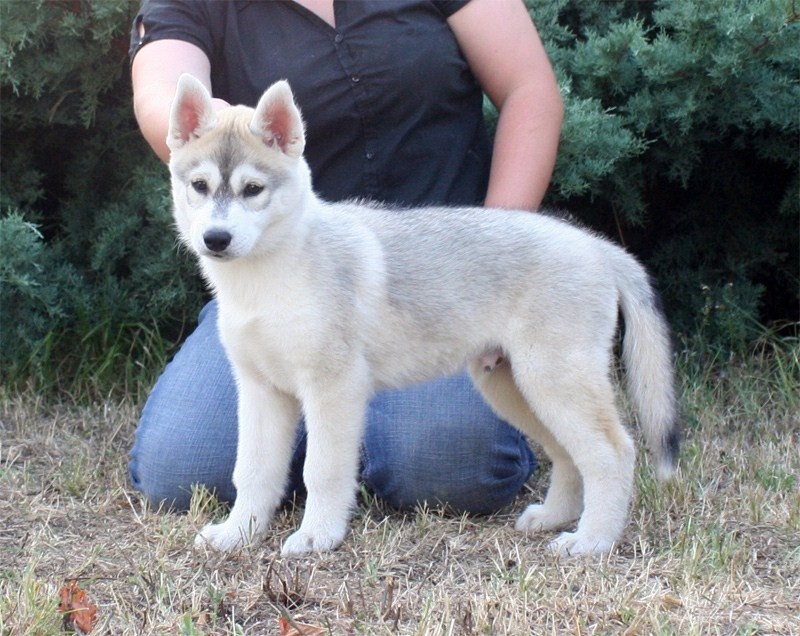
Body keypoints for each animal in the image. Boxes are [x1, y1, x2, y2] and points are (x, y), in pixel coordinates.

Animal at [169, 72, 680, 556]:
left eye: (253, 189)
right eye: (200, 186)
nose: (215, 239)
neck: (268, 277)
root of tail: (595, 245)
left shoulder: (333, 390)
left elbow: (322, 471)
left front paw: (317, 537)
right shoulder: (261, 392)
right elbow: (253, 471)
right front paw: (239, 533)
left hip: (554, 382)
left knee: (612, 453)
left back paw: (592, 541)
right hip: (518, 389)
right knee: (570, 456)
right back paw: (554, 518)